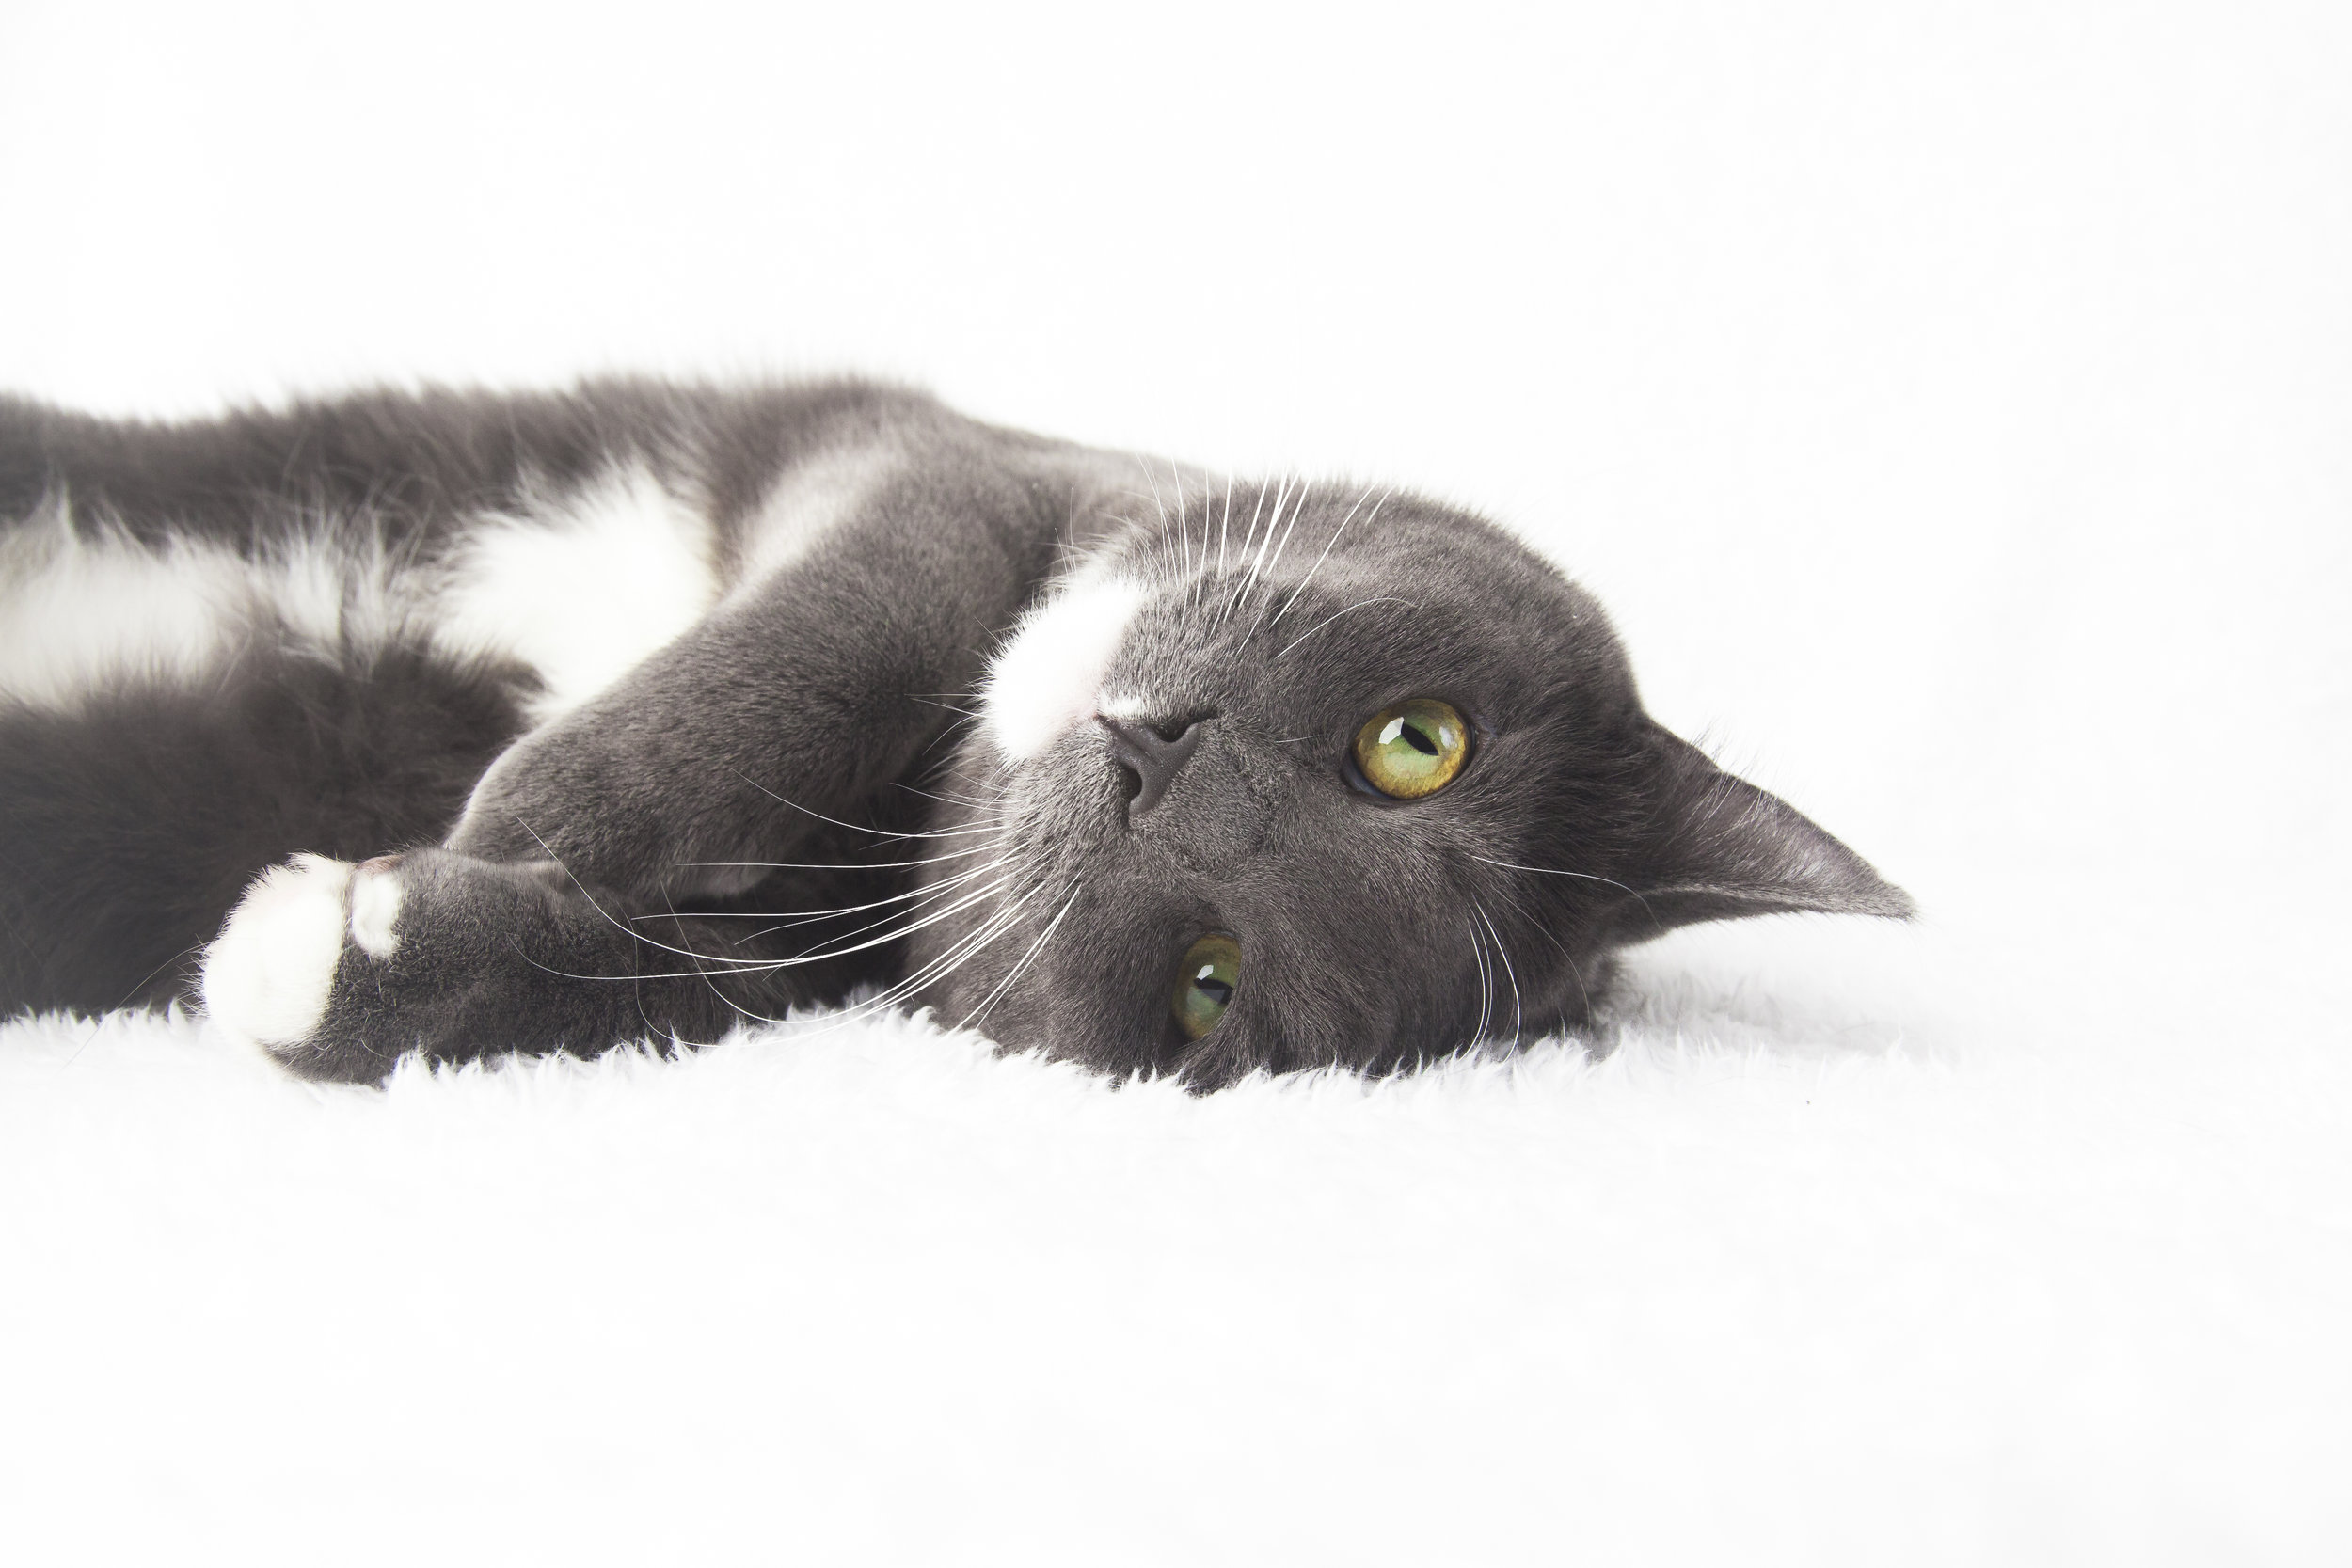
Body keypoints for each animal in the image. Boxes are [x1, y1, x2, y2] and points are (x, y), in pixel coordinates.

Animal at [0, 380, 1910, 1090]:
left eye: (1206, 983)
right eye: (1418, 740)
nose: (1149, 765)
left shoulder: (819, 971)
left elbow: (661, 990)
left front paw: (370, 952)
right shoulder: (937, 461)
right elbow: (858, 619)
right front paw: (533, 809)